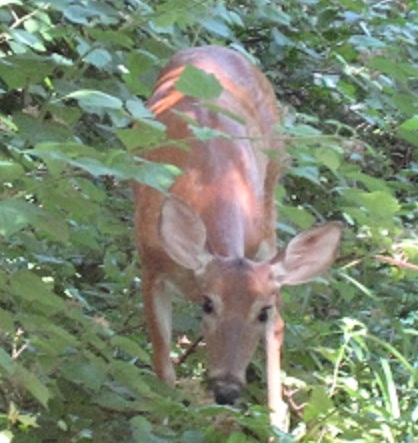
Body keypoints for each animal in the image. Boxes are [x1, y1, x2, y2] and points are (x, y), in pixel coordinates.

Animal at [132, 46, 342, 430]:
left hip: (273, 182)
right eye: (208, 304)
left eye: (261, 311)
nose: (227, 388)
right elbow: (163, 369)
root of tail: (214, 48)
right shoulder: (150, 262)